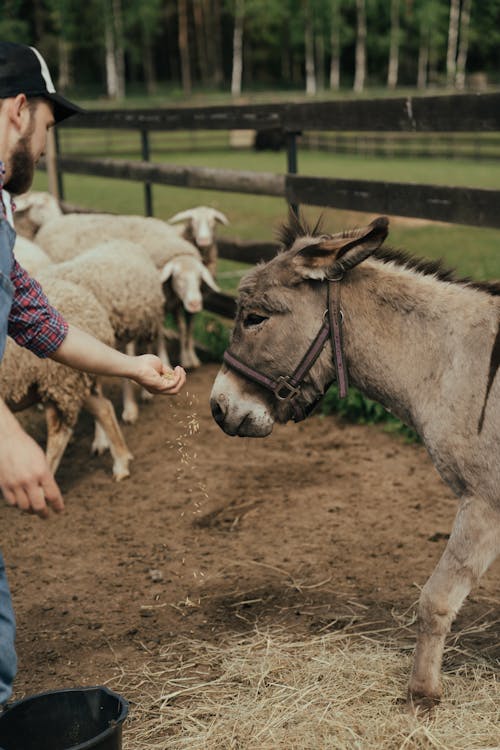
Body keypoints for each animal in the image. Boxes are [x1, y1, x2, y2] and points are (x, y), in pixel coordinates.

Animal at [36, 213, 220, 372]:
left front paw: (189, 359)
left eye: (200, 278)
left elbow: (184, 328)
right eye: (178, 277)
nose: (195, 304)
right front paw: (166, 359)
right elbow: (162, 334)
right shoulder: (156, 306)